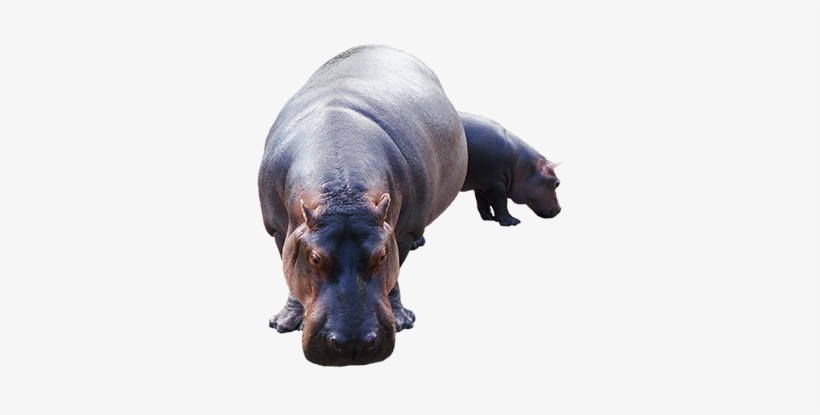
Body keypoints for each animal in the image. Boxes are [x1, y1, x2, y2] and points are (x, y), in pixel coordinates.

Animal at [258, 46, 468, 366]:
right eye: (315, 258)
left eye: (381, 255)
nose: (352, 345)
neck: (342, 196)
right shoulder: (281, 231)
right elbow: (289, 268)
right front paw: (284, 323)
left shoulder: (399, 233)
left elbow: (395, 273)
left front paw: (402, 320)